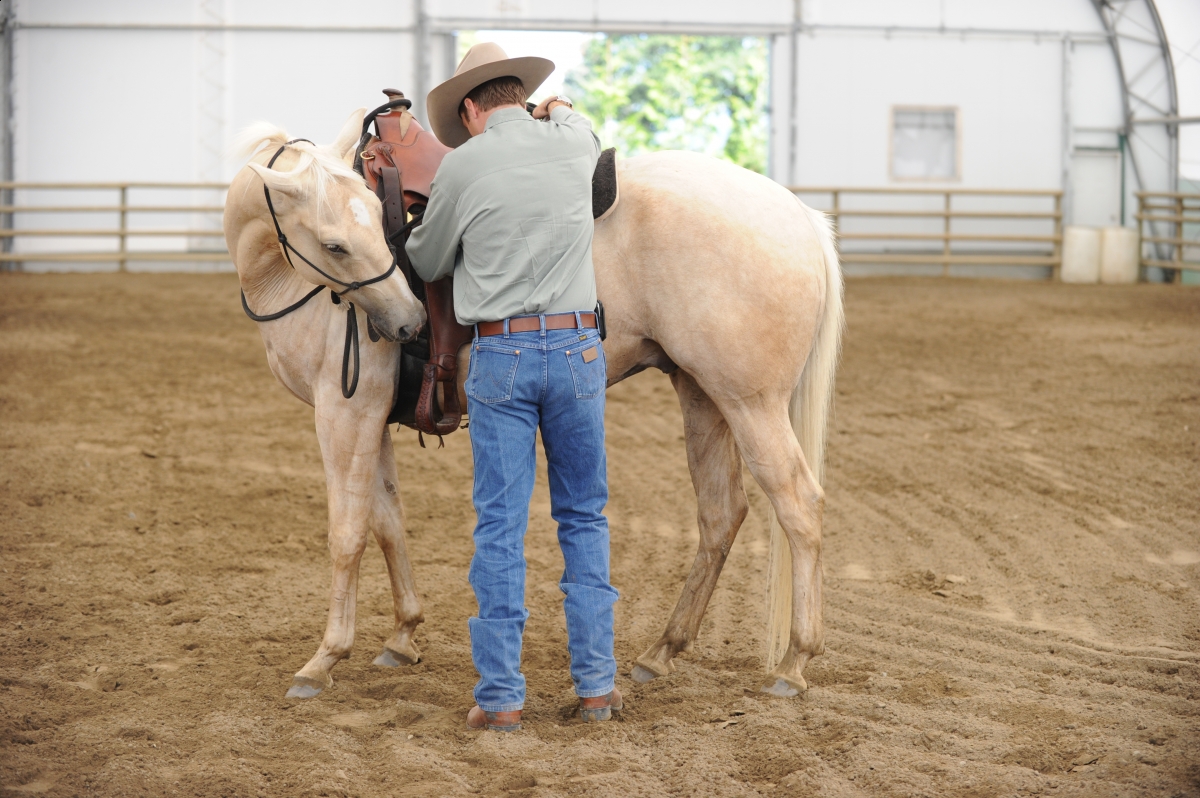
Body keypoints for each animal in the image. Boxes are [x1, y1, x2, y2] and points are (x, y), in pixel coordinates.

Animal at [223, 107, 843, 700]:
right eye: (336, 243)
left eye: (377, 223)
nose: (408, 322)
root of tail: (800, 216)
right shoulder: (371, 418)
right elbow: (388, 521)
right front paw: (402, 634)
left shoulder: (343, 412)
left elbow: (347, 534)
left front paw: (324, 659)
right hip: (702, 395)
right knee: (721, 514)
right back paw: (662, 650)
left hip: (751, 403)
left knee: (800, 506)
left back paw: (794, 663)